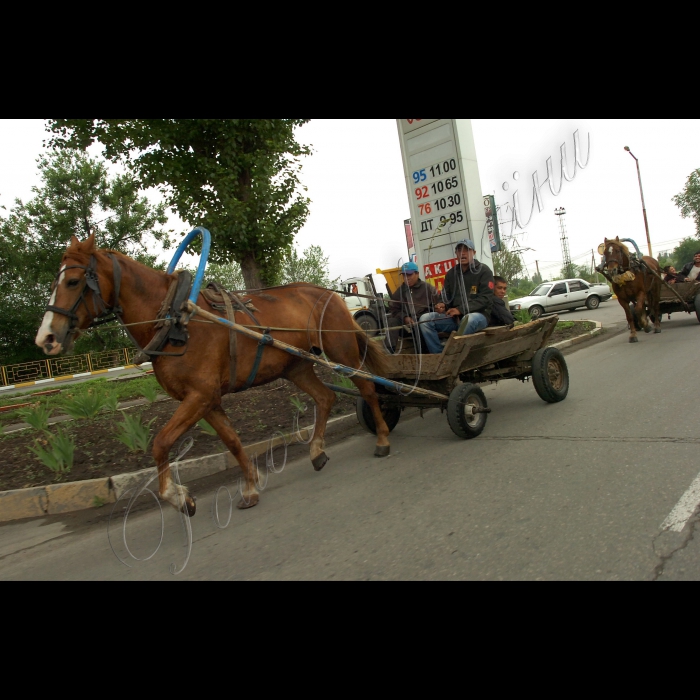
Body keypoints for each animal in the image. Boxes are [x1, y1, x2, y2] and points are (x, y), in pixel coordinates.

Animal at [35, 235, 394, 516]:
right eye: (54, 283)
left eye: (73, 282)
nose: (46, 338)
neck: (177, 322)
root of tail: (329, 293)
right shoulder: (205, 400)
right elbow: (232, 442)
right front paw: (250, 487)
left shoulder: (200, 396)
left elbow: (161, 442)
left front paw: (178, 497)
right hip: (296, 366)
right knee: (325, 396)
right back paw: (317, 452)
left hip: (342, 353)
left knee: (367, 388)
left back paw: (382, 438)